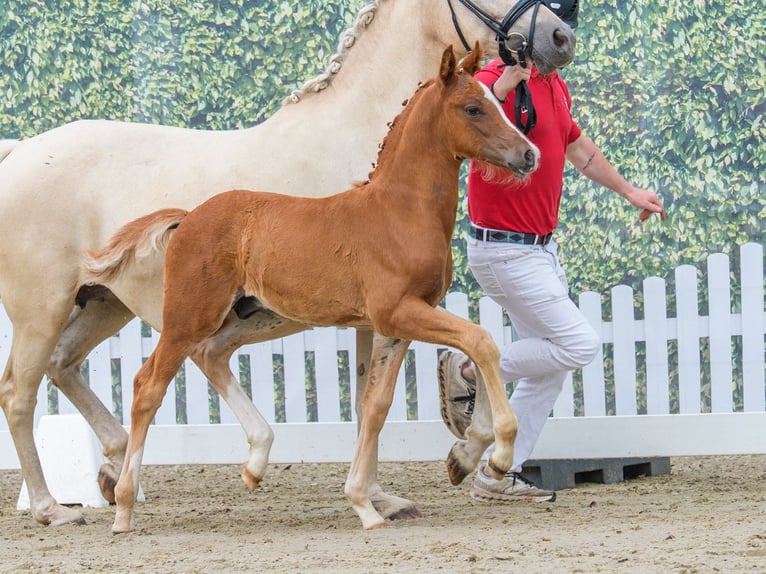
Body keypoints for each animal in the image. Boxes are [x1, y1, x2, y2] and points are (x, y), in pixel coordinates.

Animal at [0, 0, 575, 527]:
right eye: (473, 108)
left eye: (497, 101)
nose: (560, 37)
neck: (390, 202)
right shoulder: (391, 312)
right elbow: (474, 345)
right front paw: (479, 458)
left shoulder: (389, 320)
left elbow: (379, 401)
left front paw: (403, 486)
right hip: (75, 310)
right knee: (39, 393)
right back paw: (64, 507)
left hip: (107, 304)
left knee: (71, 365)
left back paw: (132, 469)